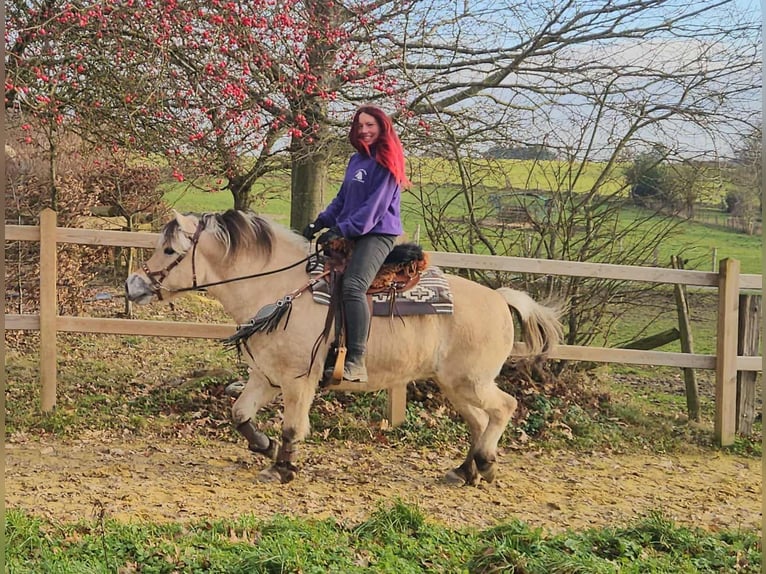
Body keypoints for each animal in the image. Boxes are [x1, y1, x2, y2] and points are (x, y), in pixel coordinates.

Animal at [125, 209, 563, 485]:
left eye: (169, 250)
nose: (134, 285)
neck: (278, 290)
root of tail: (500, 298)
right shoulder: (266, 376)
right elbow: (240, 414)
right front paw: (264, 447)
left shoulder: (298, 380)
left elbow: (293, 427)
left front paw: (281, 469)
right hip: (454, 385)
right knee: (478, 421)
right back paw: (464, 471)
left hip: (472, 381)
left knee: (503, 409)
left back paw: (485, 465)